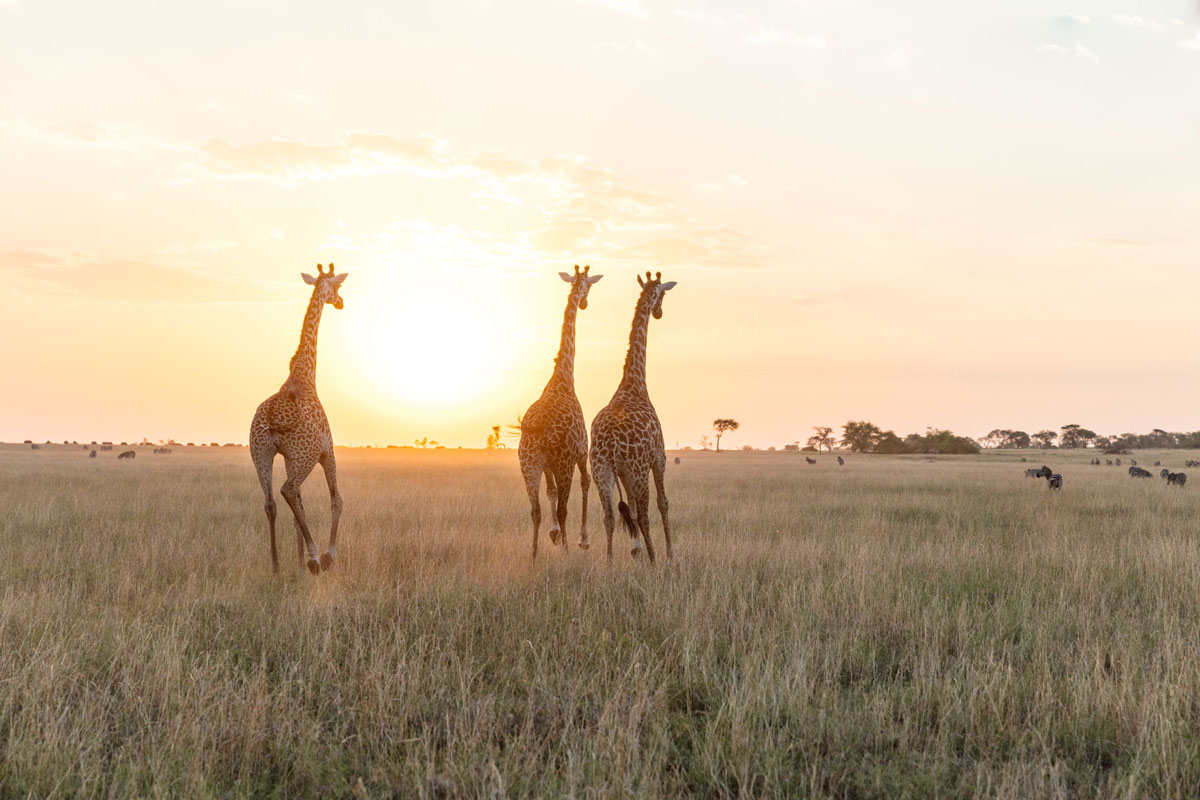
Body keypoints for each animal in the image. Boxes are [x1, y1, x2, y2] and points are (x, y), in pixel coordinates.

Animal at [249, 263, 348, 575]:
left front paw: (298, 562)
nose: (340, 302)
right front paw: (325, 555)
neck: (305, 375)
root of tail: (271, 418)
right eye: (337, 286)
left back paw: (276, 565)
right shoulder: (327, 450)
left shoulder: (287, 457)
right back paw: (316, 557)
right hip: (305, 456)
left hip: (261, 453)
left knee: (270, 502)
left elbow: (299, 511)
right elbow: (336, 500)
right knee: (288, 490)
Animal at [520, 262, 604, 556]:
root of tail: (539, 429)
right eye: (589, 285)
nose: (585, 303)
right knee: (563, 507)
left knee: (535, 509)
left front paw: (554, 534)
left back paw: (534, 554)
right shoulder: (581, 451)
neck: (564, 377)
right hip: (563, 463)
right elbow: (586, 483)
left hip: (528, 465)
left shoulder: (546, 465)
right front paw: (582, 540)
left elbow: (550, 493)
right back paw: (567, 552)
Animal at [588, 272, 676, 561]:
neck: (634, 382)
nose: (658, 312)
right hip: (636, 471)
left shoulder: (624, 473)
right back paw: (654, 560)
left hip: (601, 471)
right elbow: (663, 503)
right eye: (663, 293)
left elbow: (631, 514)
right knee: (645, 514)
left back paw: (609, 562)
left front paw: (635, 550)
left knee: (609, 516)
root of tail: (610, 444)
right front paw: (670, 554)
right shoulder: (659, 457)